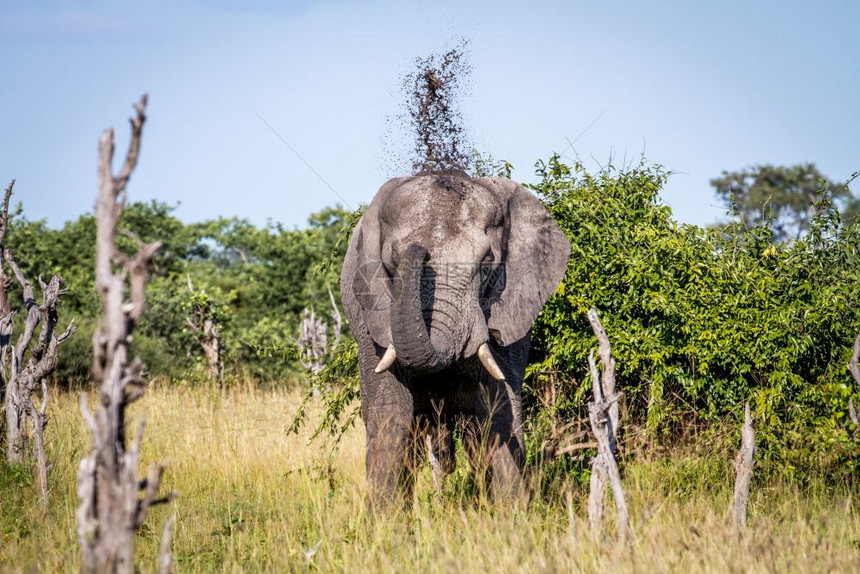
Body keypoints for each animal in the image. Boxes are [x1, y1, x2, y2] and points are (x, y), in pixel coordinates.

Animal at [338, 171, 572, 504]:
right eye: (392, 260)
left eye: (486, 262)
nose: (419, 250)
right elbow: (390, 414)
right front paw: (383, 518)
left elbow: (499, 409)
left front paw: (513, 515)